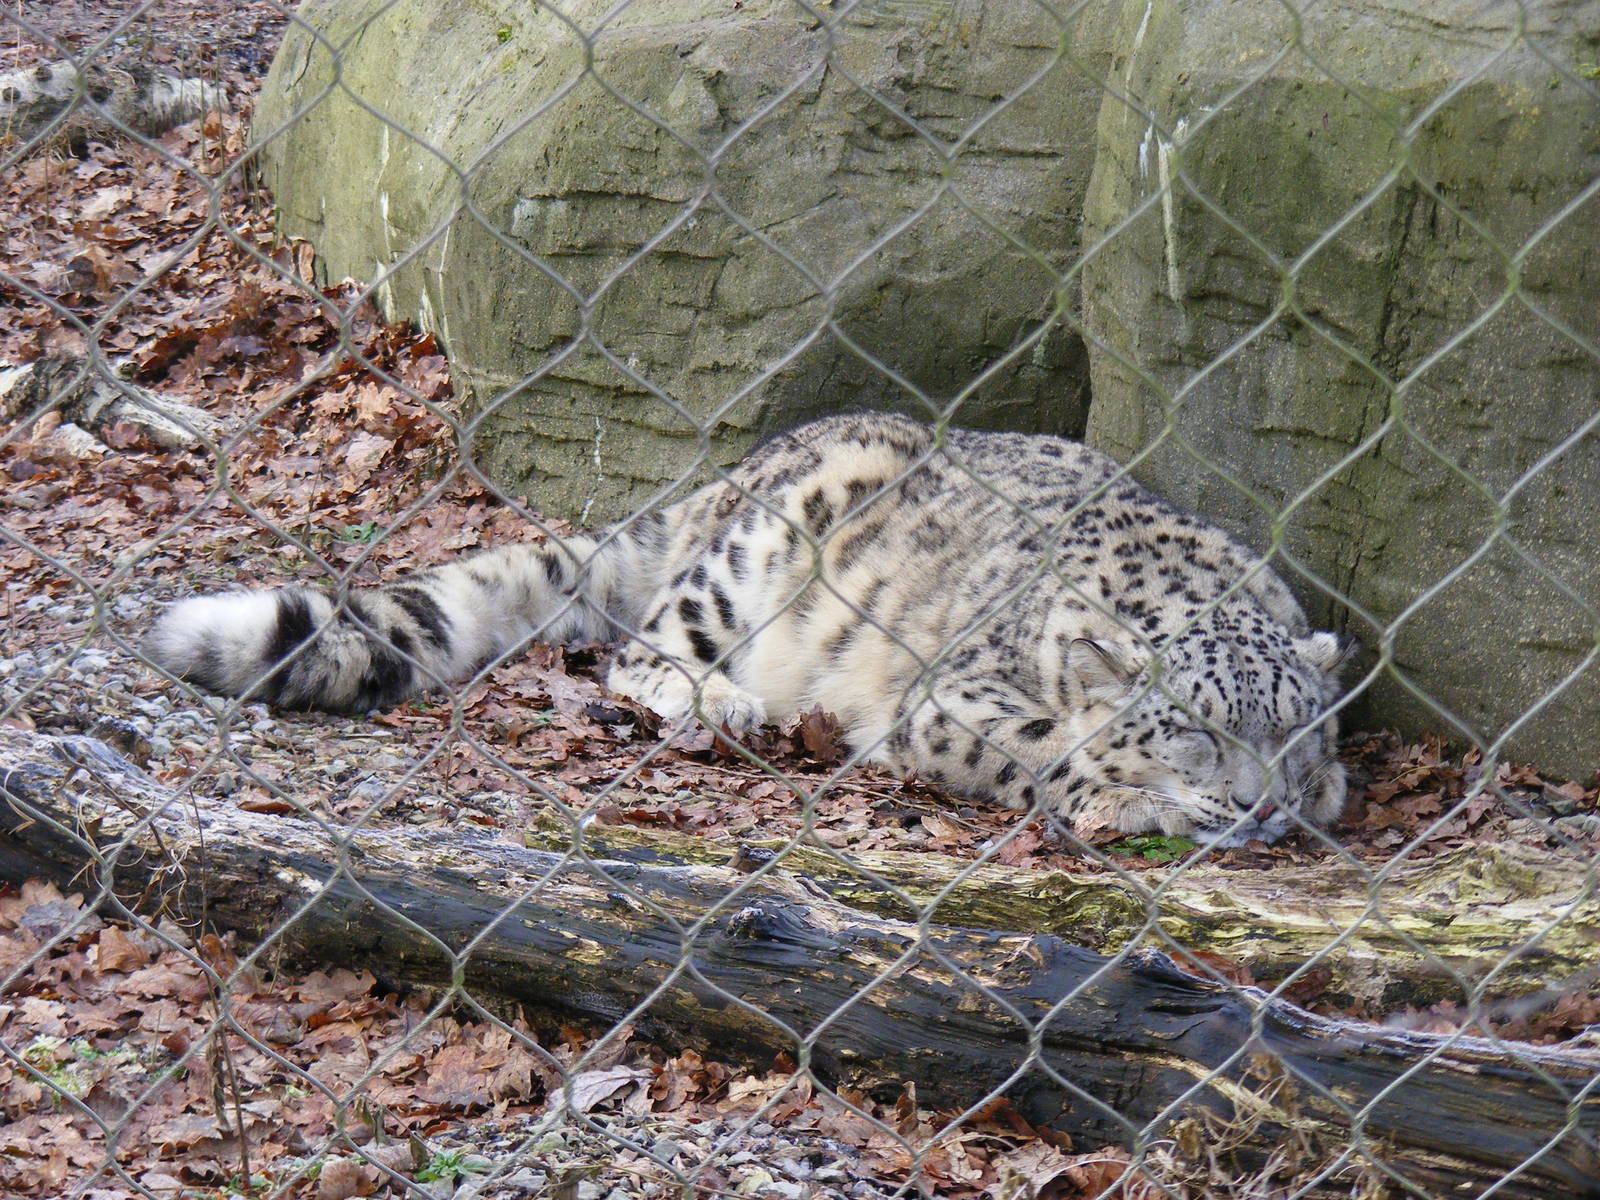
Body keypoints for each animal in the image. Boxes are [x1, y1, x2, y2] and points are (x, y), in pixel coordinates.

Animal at [146, 412, 1350, 847]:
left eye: (1296, 732)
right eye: (1191, 728)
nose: (1259, 803)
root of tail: (714, 485)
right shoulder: (950, 699)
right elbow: (1040, 745)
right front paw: (1120, 798)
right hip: (751, 556)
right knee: (641, 649)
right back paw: (721, 703)